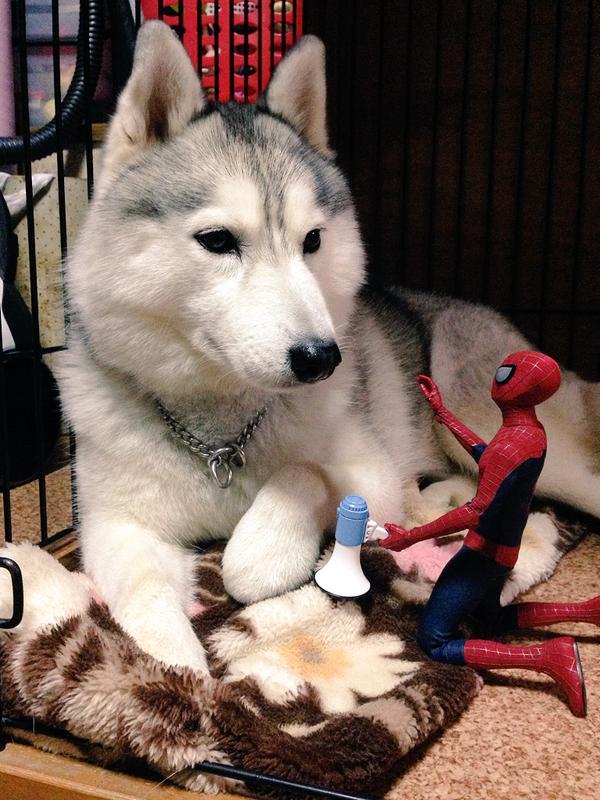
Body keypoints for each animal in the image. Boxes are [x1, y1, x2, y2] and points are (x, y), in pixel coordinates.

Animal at [53, 22, 599, 674]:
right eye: (217, 240)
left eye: (312, 240)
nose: (321, 358)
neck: (219, 437)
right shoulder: (115, 525)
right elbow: (142, 597)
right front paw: (174, 675)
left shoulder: (369, 473)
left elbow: (298, 483)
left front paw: (260, 552)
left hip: (507, 432)